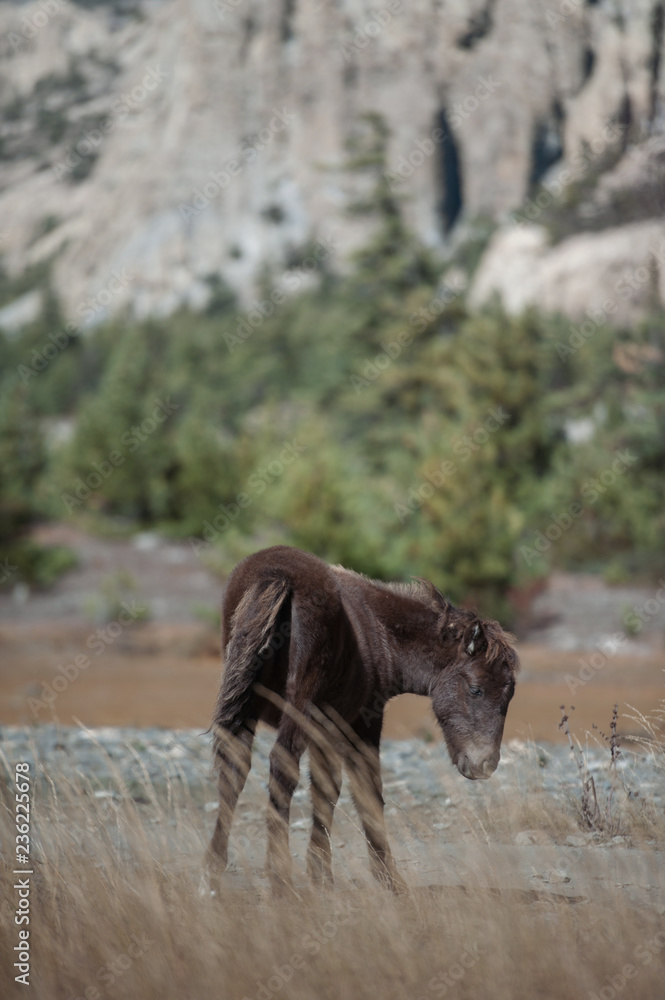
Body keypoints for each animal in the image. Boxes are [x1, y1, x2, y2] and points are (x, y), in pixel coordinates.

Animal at [205, 545, 518, 893]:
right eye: (476, 689)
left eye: (509, 695)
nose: (484, 765)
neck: (378, 630)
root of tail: (277, 574)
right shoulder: (362, 721)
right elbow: (368, 790)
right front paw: (387, 878)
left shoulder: (326, 729)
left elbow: (327, 790)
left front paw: (322, 875)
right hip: (297, 704)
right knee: (281, 767)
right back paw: (280, 879)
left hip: (244, 703)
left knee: (234, 765)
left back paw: (215, 871)